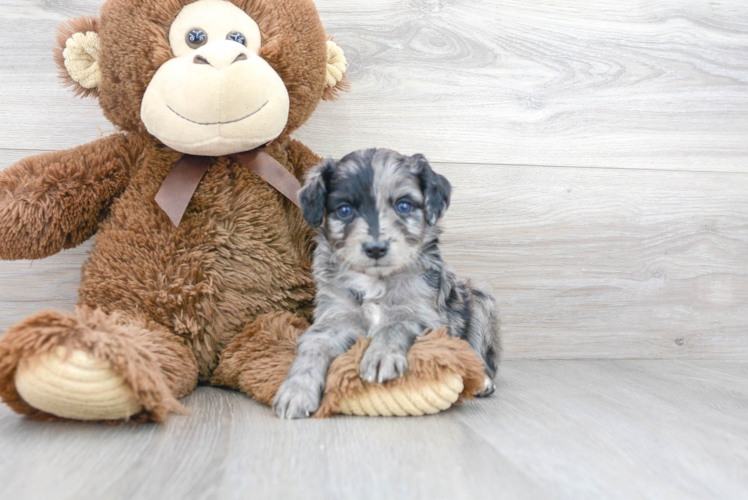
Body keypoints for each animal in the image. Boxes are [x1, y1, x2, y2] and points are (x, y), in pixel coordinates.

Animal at [272, 148, 500, 418]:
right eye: (345, 210)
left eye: (404, 206)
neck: (375, 280)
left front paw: (380, 357)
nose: (376, 248)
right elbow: (312, 348)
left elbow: (395, 325)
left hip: (480, 300)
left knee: (479, 354)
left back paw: (483, 380)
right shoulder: (334, 319)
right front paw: (295, 391)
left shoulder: (426, 316)